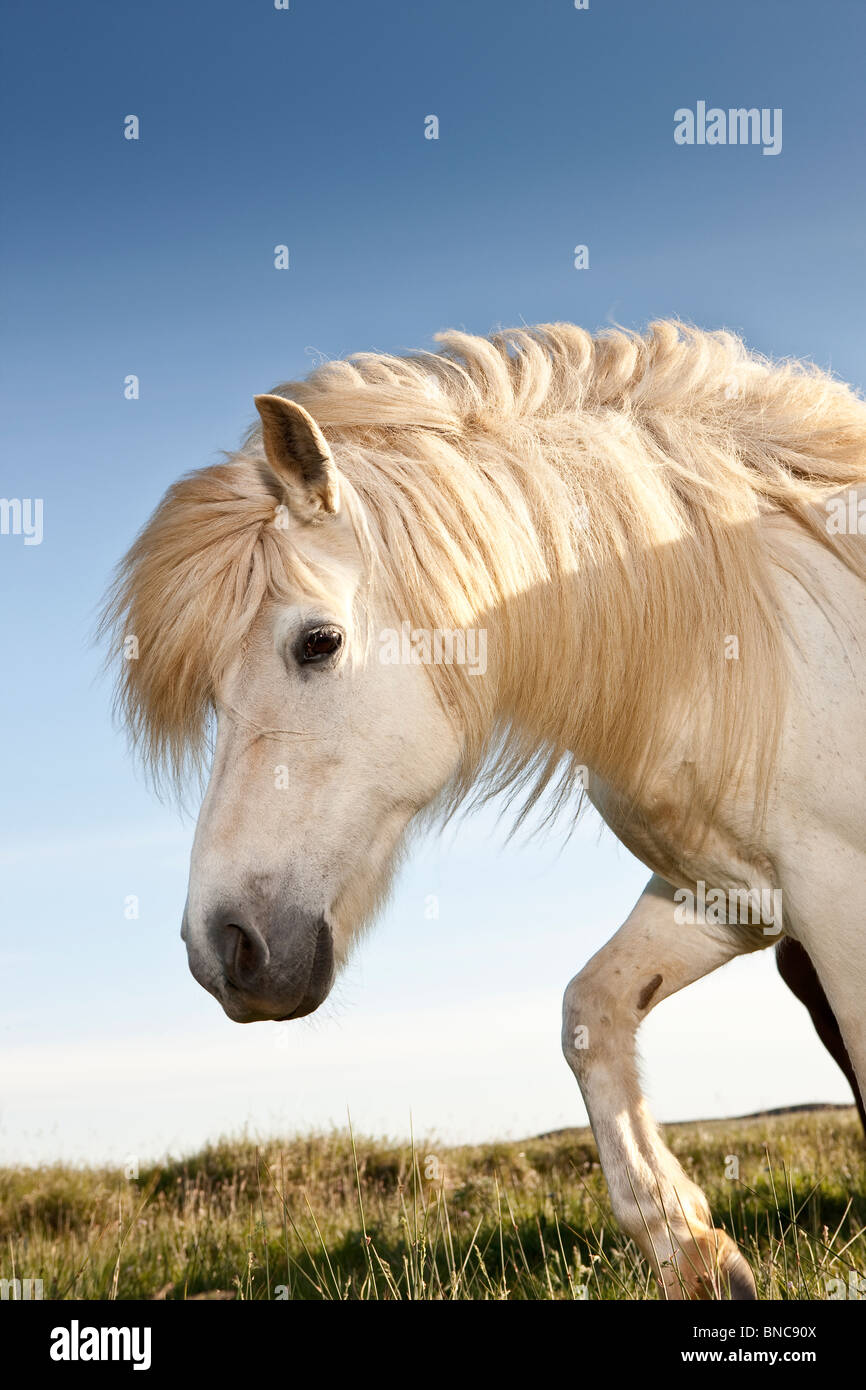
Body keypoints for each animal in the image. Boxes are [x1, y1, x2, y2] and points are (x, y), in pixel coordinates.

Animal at [107, 325, 866, 1301]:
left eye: (319, 642)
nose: (222, 949)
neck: (748, 632)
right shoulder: (735, 896)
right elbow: (590, 1014)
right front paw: (696, 1251)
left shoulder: (835, 904)